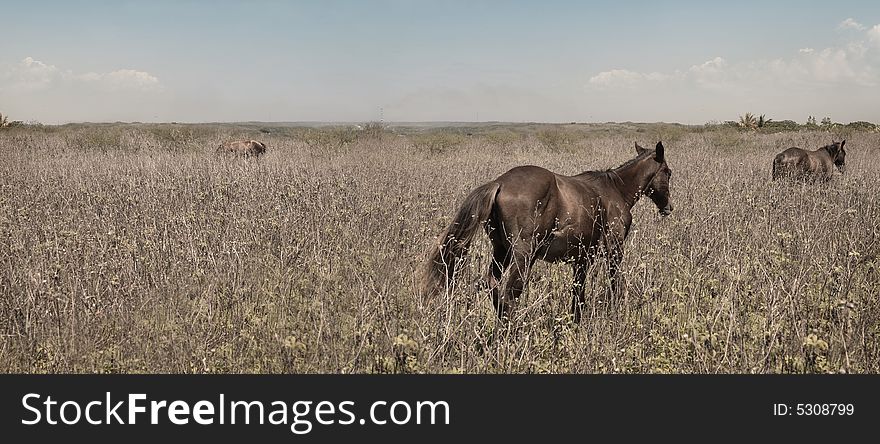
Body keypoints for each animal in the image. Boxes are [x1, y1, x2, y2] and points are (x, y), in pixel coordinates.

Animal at [420, 142, 672, 322]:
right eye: (668, 172)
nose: (668, 207)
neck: (615, 190)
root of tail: (499, 183)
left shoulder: (582, 258)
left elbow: (578, 294)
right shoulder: (614, 250)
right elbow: (614, 284)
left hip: (502, 251)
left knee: (492, 284)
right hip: (523, 256)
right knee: (511, 293)